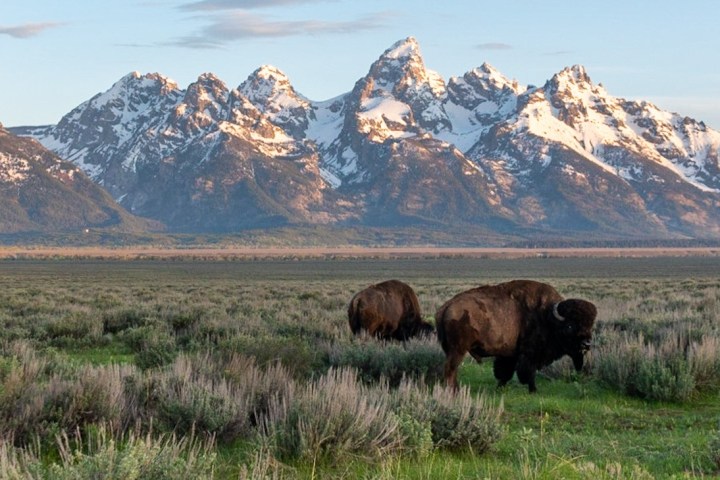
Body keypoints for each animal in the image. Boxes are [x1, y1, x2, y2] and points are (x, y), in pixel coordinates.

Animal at [435, 280, 596, 393]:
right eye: (570, 326)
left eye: (590, 326)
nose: (586, 344)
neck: (548, 316)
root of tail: (446, 307)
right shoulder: (530, 353)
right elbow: (528, 372)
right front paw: (533, 390)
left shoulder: (510, 354)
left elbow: (505, 372)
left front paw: (500, 388)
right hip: (458, 350)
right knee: (450, 368)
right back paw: (452, 392)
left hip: (451, 350)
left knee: (452, 369)